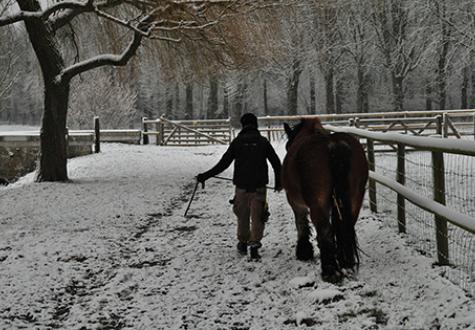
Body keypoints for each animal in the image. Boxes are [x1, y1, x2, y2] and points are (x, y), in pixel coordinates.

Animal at [282, 117, 368, 282]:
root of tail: (333, 144)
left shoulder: (296, 203)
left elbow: (301, 224)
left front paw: (304, 251)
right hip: (355, 201)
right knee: (346, 228)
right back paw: (345, 262)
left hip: (318, 204)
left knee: (325, 231)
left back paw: (330, 271)